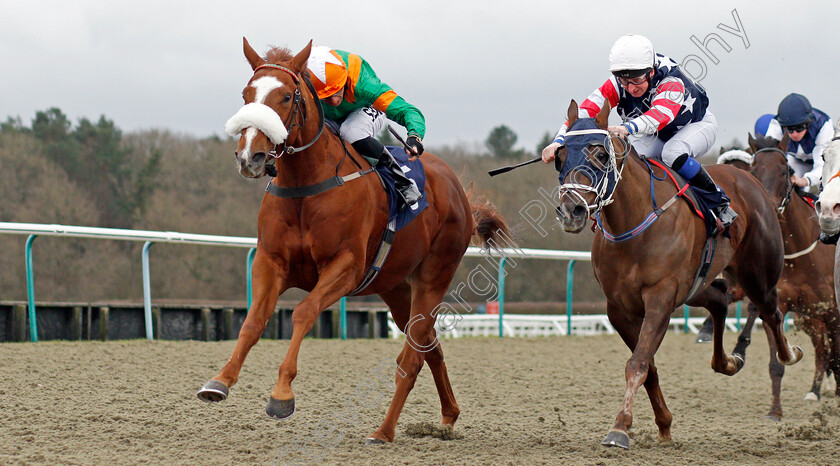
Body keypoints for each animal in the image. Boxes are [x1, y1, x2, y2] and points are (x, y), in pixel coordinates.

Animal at [199, 39, 512, 444]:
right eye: (246, 94)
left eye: (286, 96)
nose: (249, 156)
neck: (306, 186)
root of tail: (457, 189)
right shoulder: (271, 261)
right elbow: (253, 321)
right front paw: (219, 381)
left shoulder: (346, 267)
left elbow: (303, 313)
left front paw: (281, 395)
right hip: (395, 286)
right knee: (429, 344)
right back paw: (447, 418)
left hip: (434, 276)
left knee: (412, 355)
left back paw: (384, 431)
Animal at [556, 100, 804, 450]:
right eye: (560, 155)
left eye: (601, 154)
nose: (571, 210)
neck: (634, 223)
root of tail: (751, 182)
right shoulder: (619, 308)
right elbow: (648, 366)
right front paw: (663, 424)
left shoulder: (661, 296)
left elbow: (638, 363)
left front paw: (619, 427)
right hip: (695, 286)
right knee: (719, 299)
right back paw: (728, 361)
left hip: (758, 273)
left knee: (772, 312)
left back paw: (788, 353)